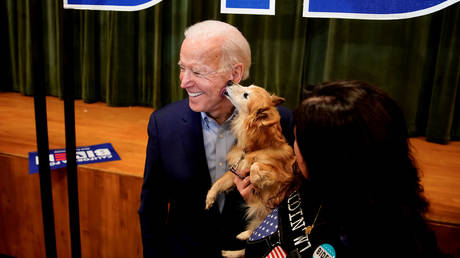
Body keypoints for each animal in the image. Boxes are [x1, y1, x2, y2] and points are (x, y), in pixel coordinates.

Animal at [205, 83, 298, 256]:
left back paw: (244, 236)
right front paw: (210, 197)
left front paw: (256, 180)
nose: (229, 82)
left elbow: (255, 166)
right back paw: (230, 250)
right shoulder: (236, 170)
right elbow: (219, 182)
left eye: (246, 95)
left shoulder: (281, 176)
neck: (257, 147)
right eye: (247, 86)